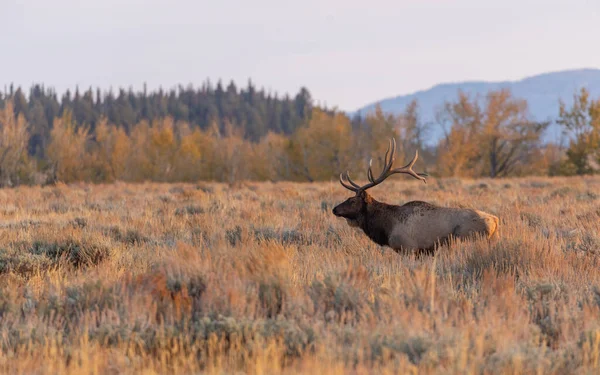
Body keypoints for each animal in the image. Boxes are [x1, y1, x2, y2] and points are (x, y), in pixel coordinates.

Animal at [332, 140, 496, 254]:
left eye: (352, 201)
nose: (334, 209)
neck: (387, 226)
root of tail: (495, 221)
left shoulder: (407, 247)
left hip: (468, 237)